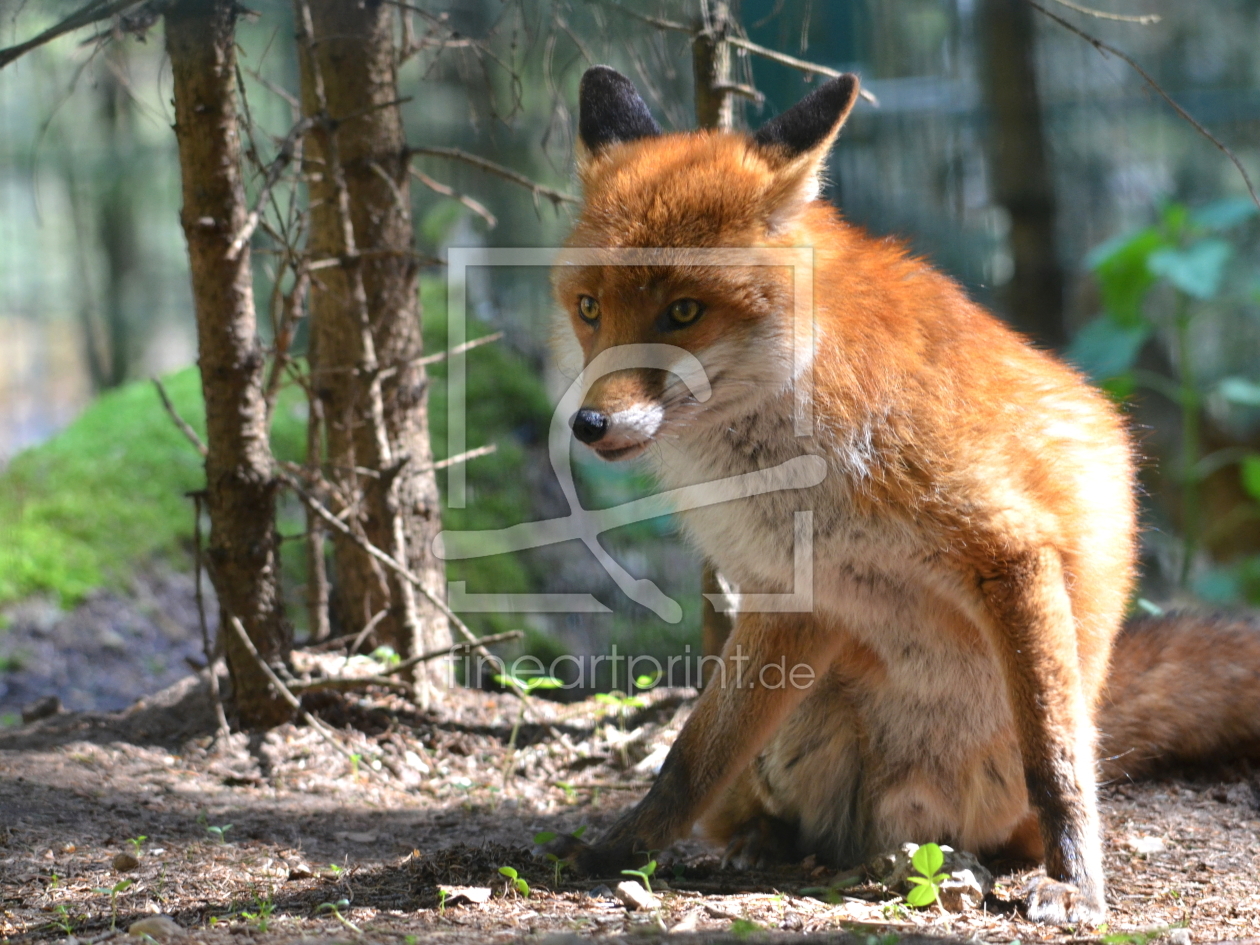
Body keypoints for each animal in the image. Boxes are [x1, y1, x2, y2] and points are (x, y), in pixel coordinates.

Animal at [549, 64, 1260, 927]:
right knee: (749, 793)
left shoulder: (1010, 548)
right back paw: (763, 840)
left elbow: (1056, 759)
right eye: (590, 309)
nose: (589, 423)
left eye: (683, 311)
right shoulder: (790, 594)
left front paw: (1079, 880)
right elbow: (690, 757)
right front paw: (621, 848)